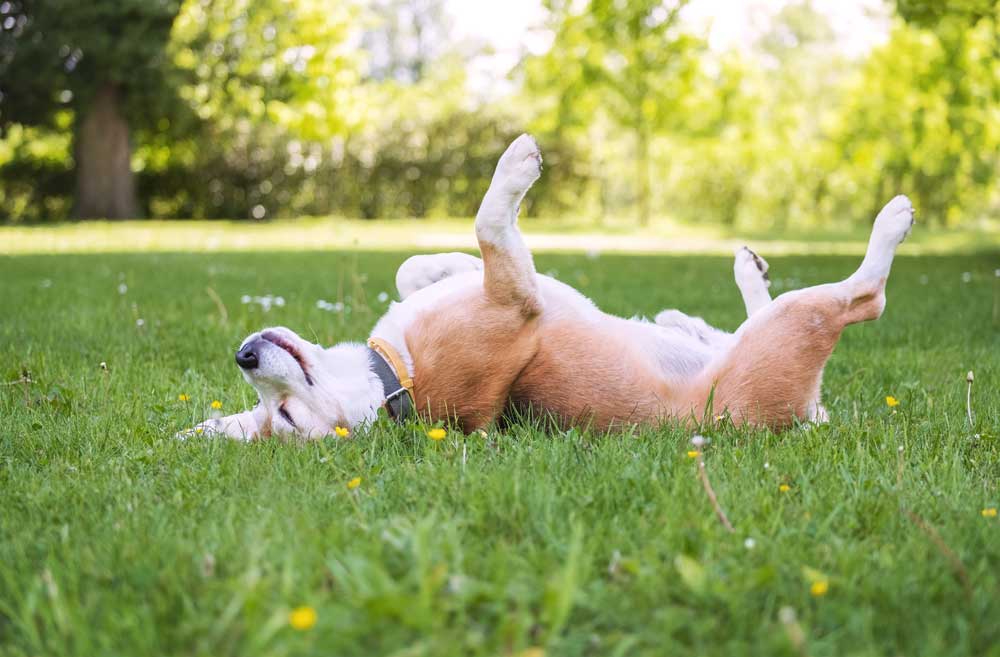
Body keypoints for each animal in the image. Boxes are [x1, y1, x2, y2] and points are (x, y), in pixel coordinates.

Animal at [184, 134, 916, 440]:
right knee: (864, 297)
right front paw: (515, 167)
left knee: (733, 318)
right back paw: (891, 222)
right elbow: (489, 222)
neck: (393, 375)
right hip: (797, 324)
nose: (245, 354)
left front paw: (436, 262)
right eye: (284, 417)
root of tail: (804, 416)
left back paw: (716, 295)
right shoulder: (515, 298)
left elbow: (416, 266)